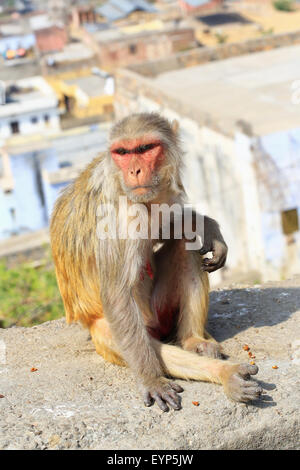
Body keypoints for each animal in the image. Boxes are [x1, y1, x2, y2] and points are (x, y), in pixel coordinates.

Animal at [51, 114, 262, 412]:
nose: (135, 171)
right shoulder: (119, 217)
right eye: (123, 152)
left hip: (162, 309)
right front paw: (151, 380)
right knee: (152, 347)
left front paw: (206, 225)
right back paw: (224, 374)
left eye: (146, 148)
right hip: (108, 334)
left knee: (186, 246)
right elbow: (117, 295)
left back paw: (194, 340)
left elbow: (168, 225)